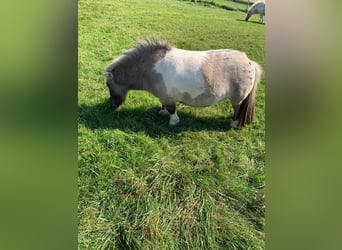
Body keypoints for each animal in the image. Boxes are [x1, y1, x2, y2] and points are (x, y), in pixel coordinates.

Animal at [104, 39, 262, 129]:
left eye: (108, 85)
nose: (112, 105)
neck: (149, 66)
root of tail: (249, 62)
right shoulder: (164, 96)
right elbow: (164, 106)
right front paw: (162, 112)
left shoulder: (168, 98)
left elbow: (172, 109)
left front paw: (173, 122)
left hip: (238, 98)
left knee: (238, 110)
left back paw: (233, 124)